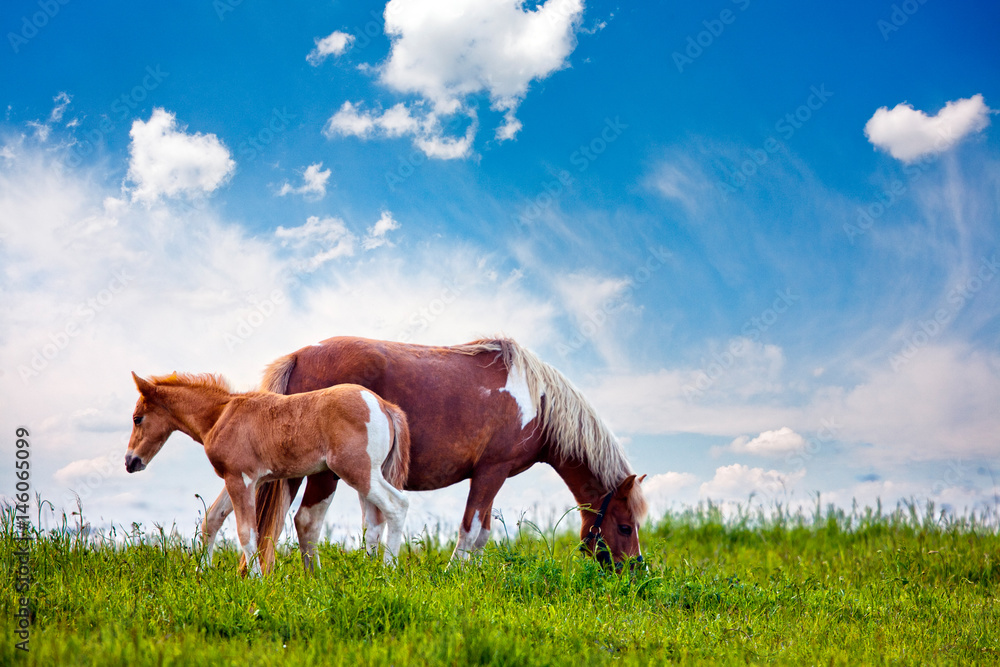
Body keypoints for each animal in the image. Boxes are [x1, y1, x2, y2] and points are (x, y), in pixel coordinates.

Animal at [123, 371, 410, 575]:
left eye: (137, 418)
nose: (130, 461)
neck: (221, 416)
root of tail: (384, 405)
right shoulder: (238, 479)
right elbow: (212, 519)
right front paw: (201, 571)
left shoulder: (240, 480)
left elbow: (247, 532)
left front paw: (255, 580)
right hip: (369, 475)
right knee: (373, 522)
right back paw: (371, 572)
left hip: (358, 471)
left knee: (397, 505)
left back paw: (388, 570)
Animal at [202, 337, 648, 572]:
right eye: (625, 527)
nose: (635, 571)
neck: (535, 400)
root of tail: (300, 355)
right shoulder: (491, 472)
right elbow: (471, 529)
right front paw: (454, 575)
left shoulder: (490, 476)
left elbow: (480, 533)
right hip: (321, 473)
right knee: (305, 523)